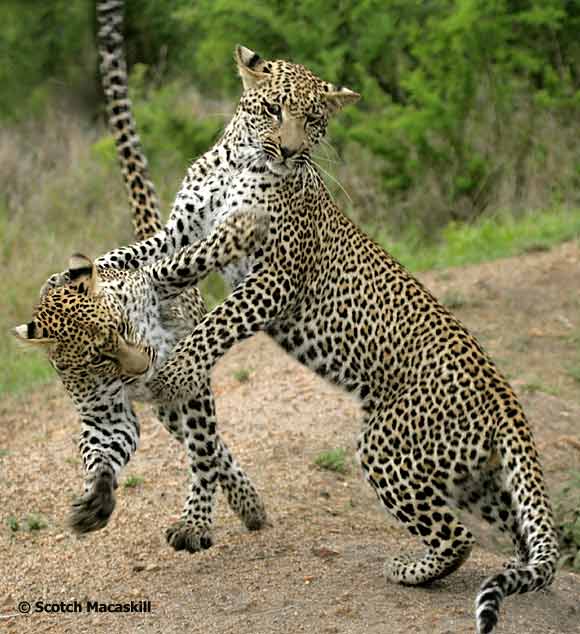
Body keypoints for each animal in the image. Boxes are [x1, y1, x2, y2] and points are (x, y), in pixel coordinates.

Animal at [11, 207, 270, 548]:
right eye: (98, 358)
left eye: (122, 326)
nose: (144, 367)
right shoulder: (106, 417)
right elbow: (101, 457)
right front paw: (97, 501)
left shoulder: (153, 280)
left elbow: (191, 259)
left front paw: (243, 227)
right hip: (169, 408)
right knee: (211, 447)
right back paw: (246, 504)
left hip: (190, 383)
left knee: (204, 446)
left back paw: (204, 520)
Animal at [40, 2, 556, 628]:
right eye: (272, 109)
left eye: (313, 120)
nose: (287, 151)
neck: (236, 161)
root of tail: (505, 397)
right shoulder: (182, 232)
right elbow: (140, 256)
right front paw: (80, 279)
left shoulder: (276, 275)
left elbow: (218, 322)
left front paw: (174, 372)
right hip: (472, 474)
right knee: (518, 531)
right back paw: (530, 576)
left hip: (390, 447)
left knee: (457, 538)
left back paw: (409, 570)